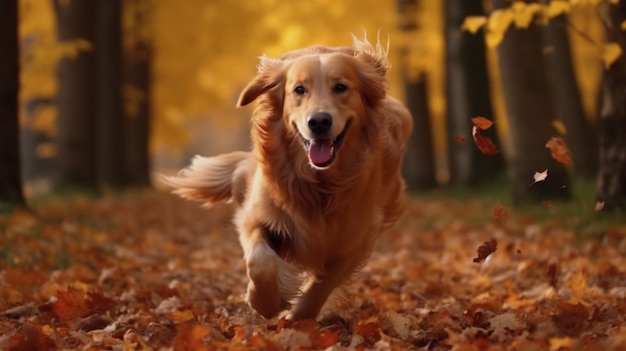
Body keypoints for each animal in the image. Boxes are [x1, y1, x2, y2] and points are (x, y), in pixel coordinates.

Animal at [163, 37, 412, 320]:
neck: (319, 186)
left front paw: (298, 317)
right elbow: (260, 262)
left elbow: (322, 284)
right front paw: (265, 302)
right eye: (299, 90)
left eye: (341, 87)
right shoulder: (256, 217)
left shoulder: (354, 240)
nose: (319, 121)